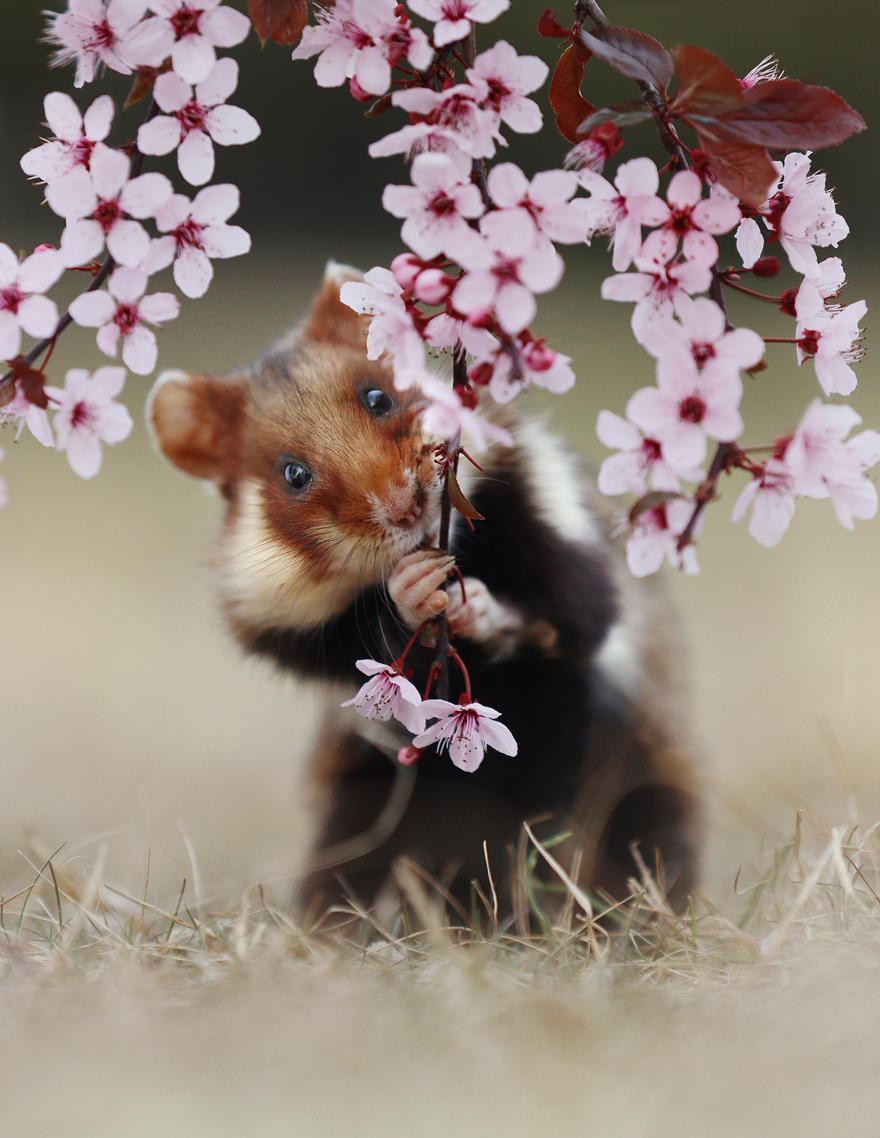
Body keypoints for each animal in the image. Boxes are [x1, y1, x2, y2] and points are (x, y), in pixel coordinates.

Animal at [147, 262, 702, 929]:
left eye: (378, 397)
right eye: (292, 474)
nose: (404, 507)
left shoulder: (572, 555)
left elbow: (568, 614)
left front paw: (468, 603)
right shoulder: (285, 624)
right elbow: (371, 628)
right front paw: (414, 587)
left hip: (637, 787)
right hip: (361, 814)